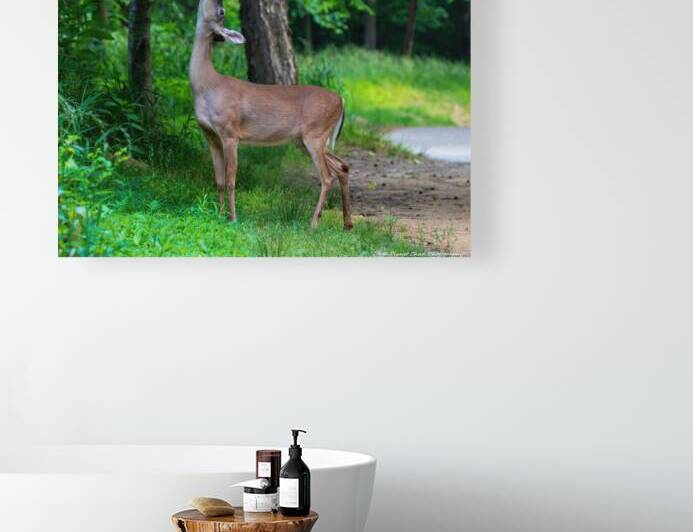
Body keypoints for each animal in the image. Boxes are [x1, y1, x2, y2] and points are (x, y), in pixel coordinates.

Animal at [189, 0, 353, 230]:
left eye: (222, 11)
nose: (219, 3)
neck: (206, 86)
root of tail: (341, 100)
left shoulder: (230, 133)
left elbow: (231, 180)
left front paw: (233, 218)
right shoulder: (210, 136)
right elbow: (219, 181)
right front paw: (219, 215)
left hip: (315, 133)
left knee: (327, 177)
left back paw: (313, 223)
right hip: (306, 140)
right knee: (342, 166)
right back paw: (347, 224)